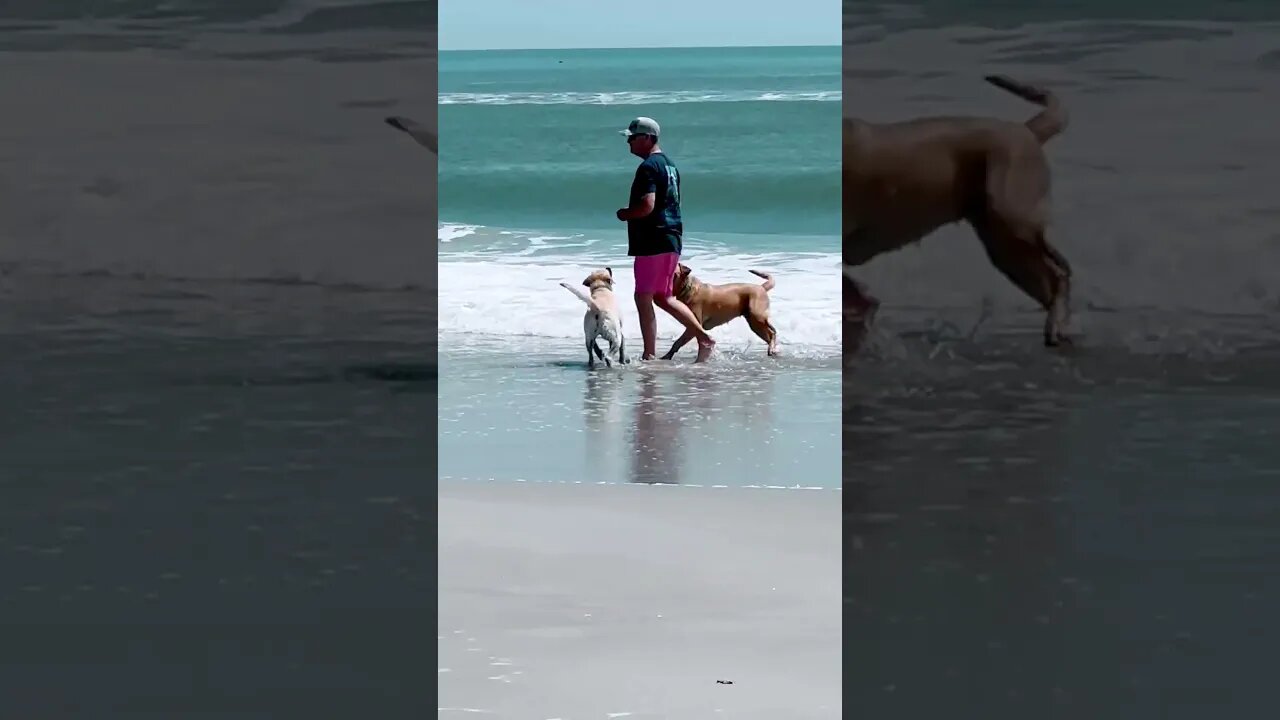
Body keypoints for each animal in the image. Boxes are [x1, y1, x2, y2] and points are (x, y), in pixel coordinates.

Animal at [844, 74, 1075, 345]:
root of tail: (1026, 129)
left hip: (1013, 225)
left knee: (1059, 273)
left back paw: (1057, 325)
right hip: (1003, 242)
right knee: (1050, 277)